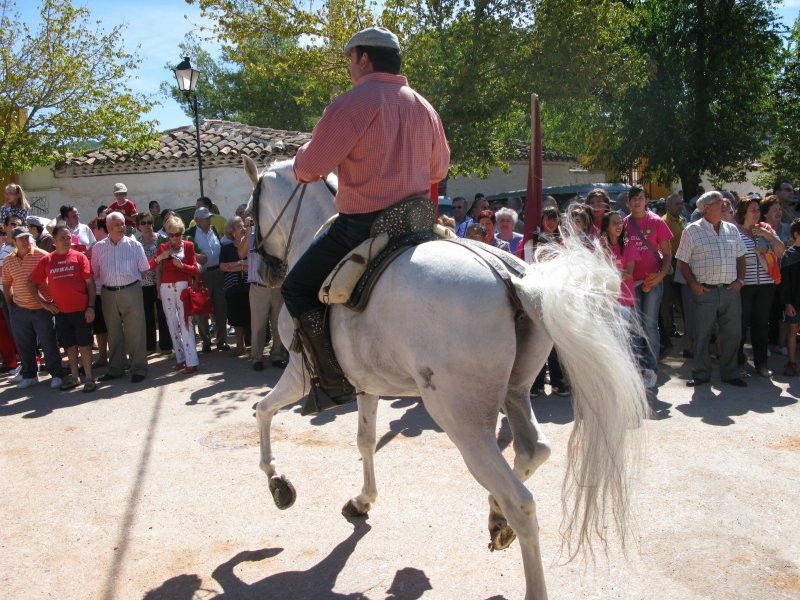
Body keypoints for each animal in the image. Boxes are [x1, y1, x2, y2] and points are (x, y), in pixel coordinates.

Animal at [245, 156, 648, 600]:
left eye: (250, 211)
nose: (265, 269)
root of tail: (511, 277)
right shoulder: (367, 383)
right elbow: (365, 440)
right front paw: (363, 500)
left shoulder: (300, 374)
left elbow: (262, 410)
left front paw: (277, 481)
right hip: (514, 393)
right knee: (533, 450)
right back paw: (496, 518)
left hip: (462, 422)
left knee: (522, 502)